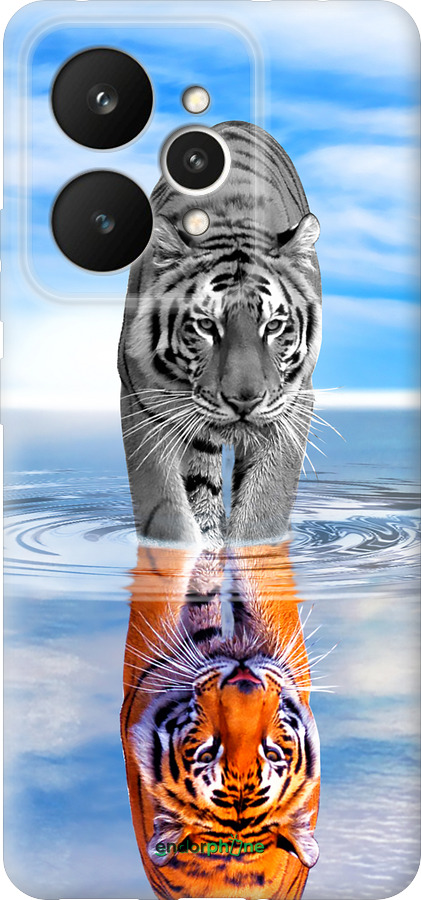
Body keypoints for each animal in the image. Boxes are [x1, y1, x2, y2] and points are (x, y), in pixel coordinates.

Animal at [118, 121, 322, 549]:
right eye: (206, 326)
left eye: (273, 326)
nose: (244, 400)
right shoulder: (142, 402)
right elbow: (166, 512)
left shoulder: (293, 405)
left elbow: (263, 510)